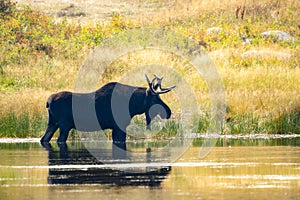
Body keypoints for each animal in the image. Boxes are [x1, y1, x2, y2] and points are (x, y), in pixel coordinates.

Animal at [40, 75, 176, 145]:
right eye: (155, 99)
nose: (168, 112)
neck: (132, 105)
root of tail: (48, 102)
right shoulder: (119, 126)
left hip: (52, 123)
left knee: (44, 139)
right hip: (64, 125)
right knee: (59, 140)